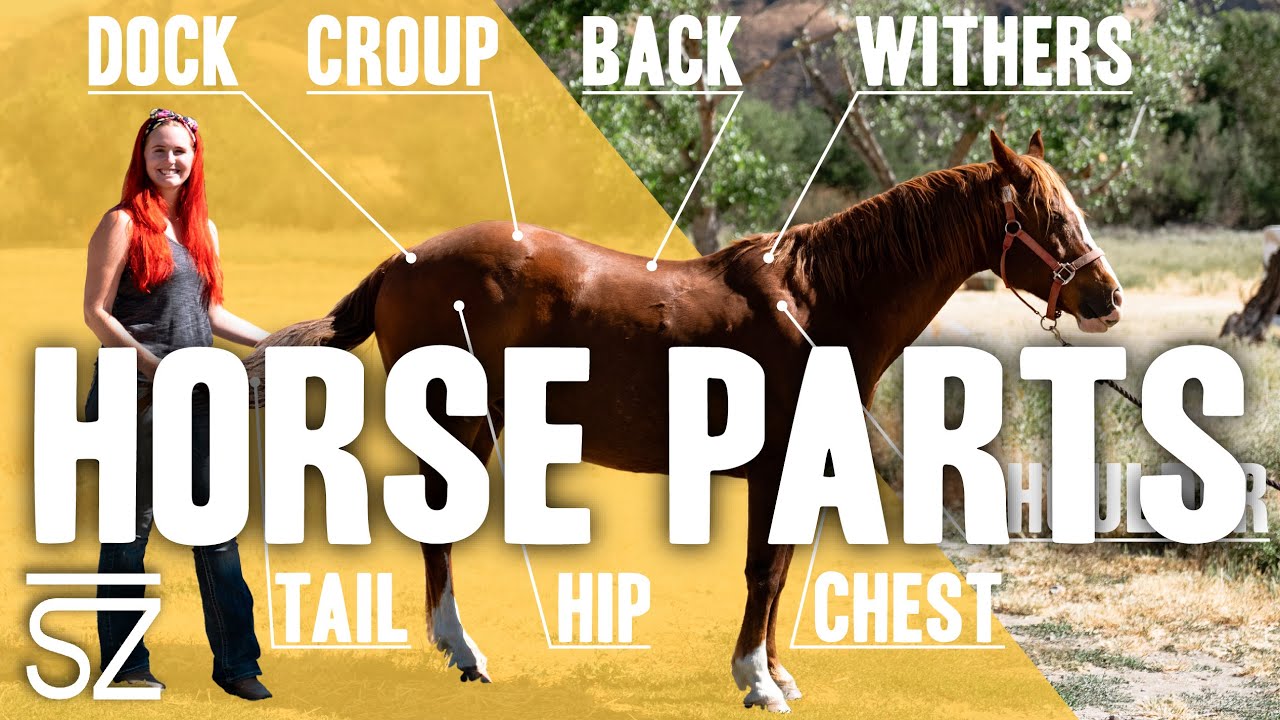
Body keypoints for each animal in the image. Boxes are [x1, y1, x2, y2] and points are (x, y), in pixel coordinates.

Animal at [246, 130, 1123, 712]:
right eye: (1049, 217)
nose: (1108, 297)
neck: (818, 302)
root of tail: (403, 262)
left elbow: (783, 572)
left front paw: (778, 671)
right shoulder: (775, 468)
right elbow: (764, 571)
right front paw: (757, 681)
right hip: (461, 426)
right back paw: (463, 651)